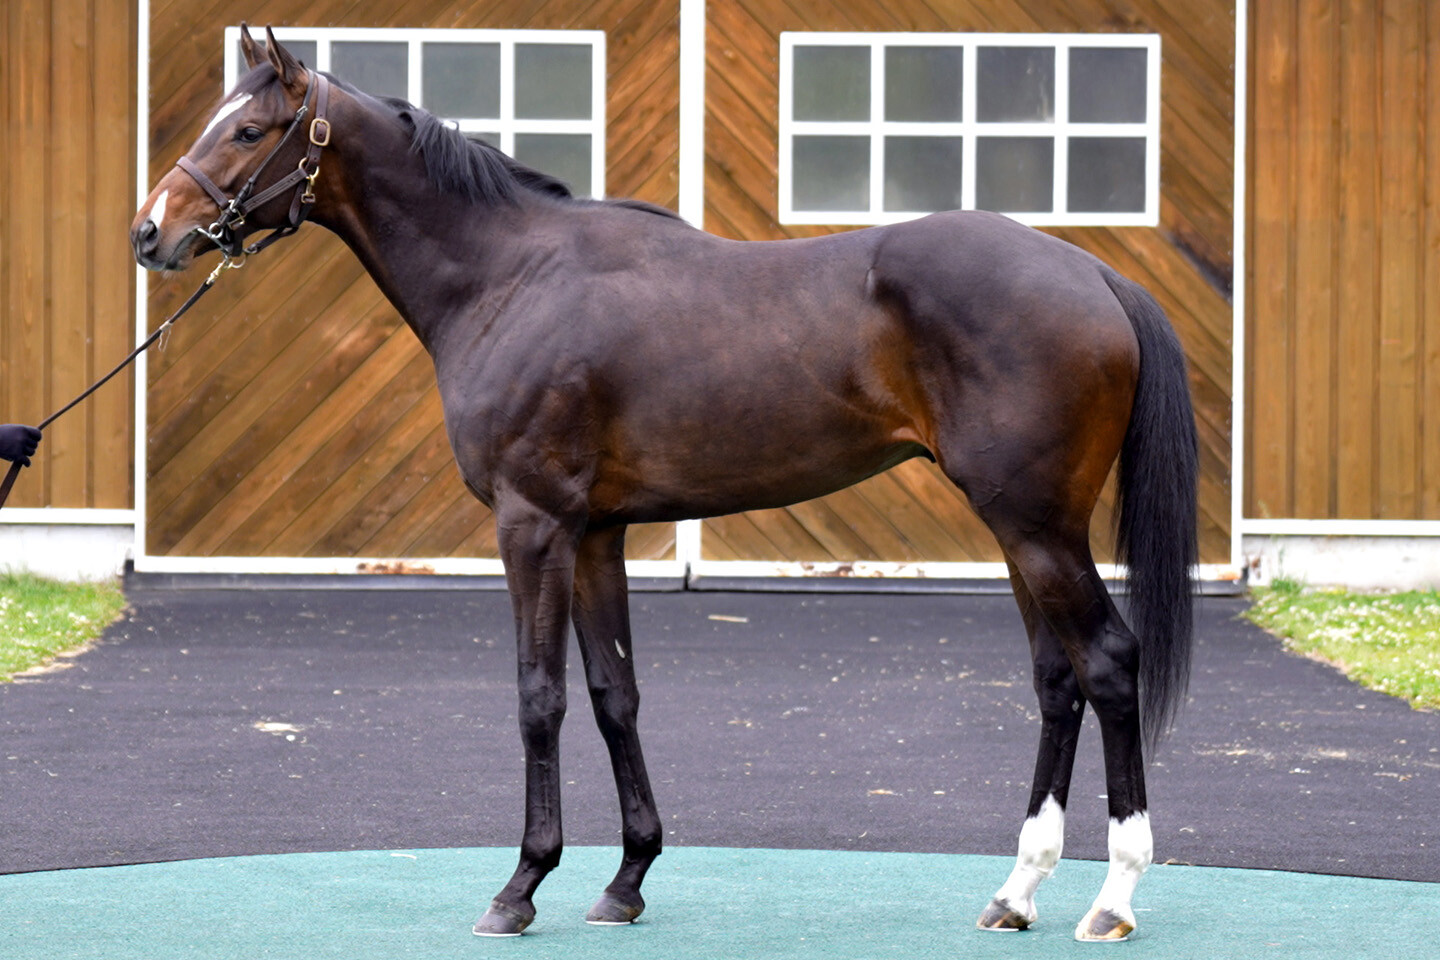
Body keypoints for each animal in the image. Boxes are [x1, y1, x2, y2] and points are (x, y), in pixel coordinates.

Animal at [132, 26, 1197, 944]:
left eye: (250, 130)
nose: (151, 233)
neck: (510, 278)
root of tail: (1094, 275)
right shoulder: (596, 534)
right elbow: (615, 695)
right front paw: (626, 881)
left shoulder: (533, 525)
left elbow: (540, 697)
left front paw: (520, 888)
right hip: (1020, 529)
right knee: (1057, 681)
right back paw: (1016, 893)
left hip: (1038, 526)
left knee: (1108, 663)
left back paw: (1112, 899)